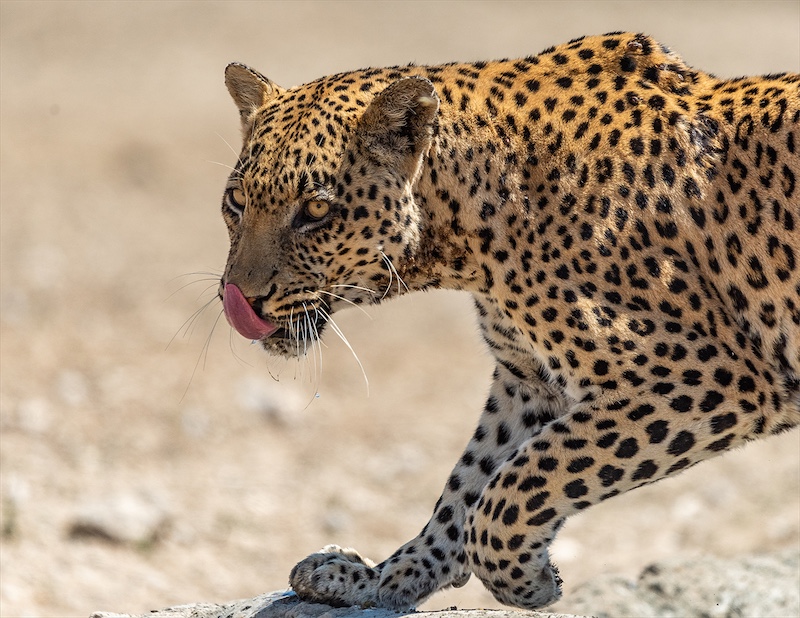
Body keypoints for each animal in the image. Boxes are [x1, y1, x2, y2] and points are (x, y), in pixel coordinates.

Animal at [217, 32, 799, 610]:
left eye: (316, 211)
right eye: (236, 200)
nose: (240, 299)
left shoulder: (706, 377)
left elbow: (518, 487)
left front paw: (531, 580)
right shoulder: (529, 382)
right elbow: (470, 484)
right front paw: (378, 579)